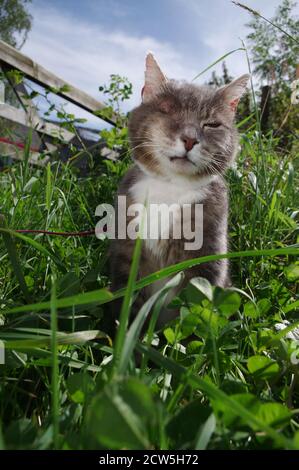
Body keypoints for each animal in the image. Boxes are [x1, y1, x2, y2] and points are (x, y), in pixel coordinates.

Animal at [110, 52, 251, 324]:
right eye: (167, 111)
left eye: (212, 124)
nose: (189, 139)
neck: (170, 187)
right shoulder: (127, 253)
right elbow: (128, 304)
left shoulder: (207, 257)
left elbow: (193, 313)